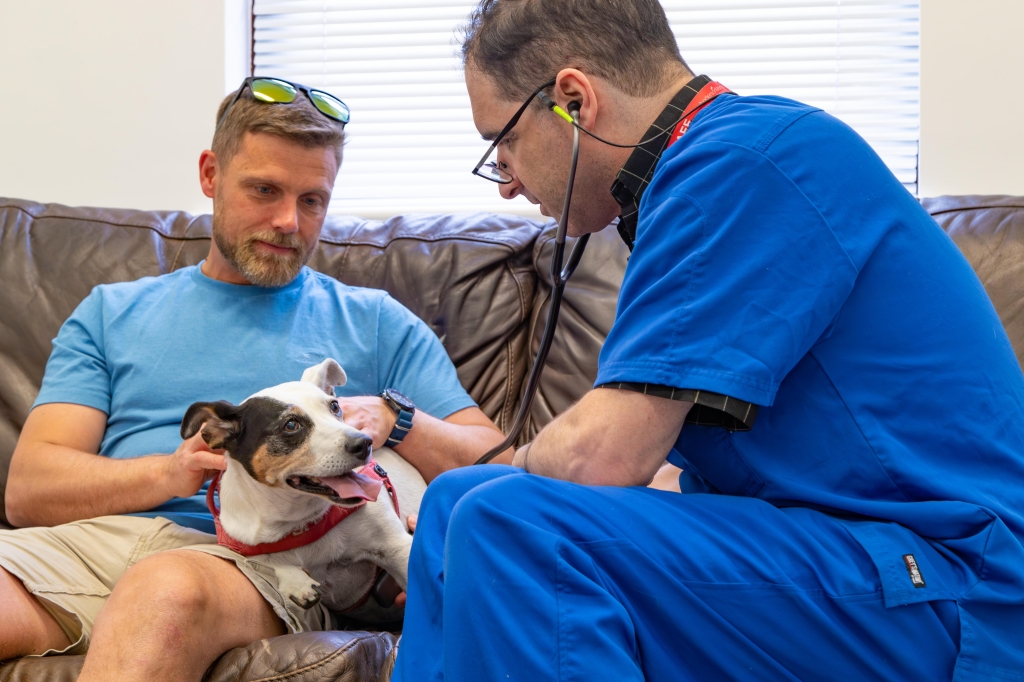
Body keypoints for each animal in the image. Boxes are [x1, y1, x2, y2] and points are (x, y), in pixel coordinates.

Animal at [182, 356, 425, 622]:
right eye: (291, 425)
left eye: (335, 407)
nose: (364, 443)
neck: (298, 522)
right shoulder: (242, 541)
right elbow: (267, 559)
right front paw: (294, 580)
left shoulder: (398, 549)